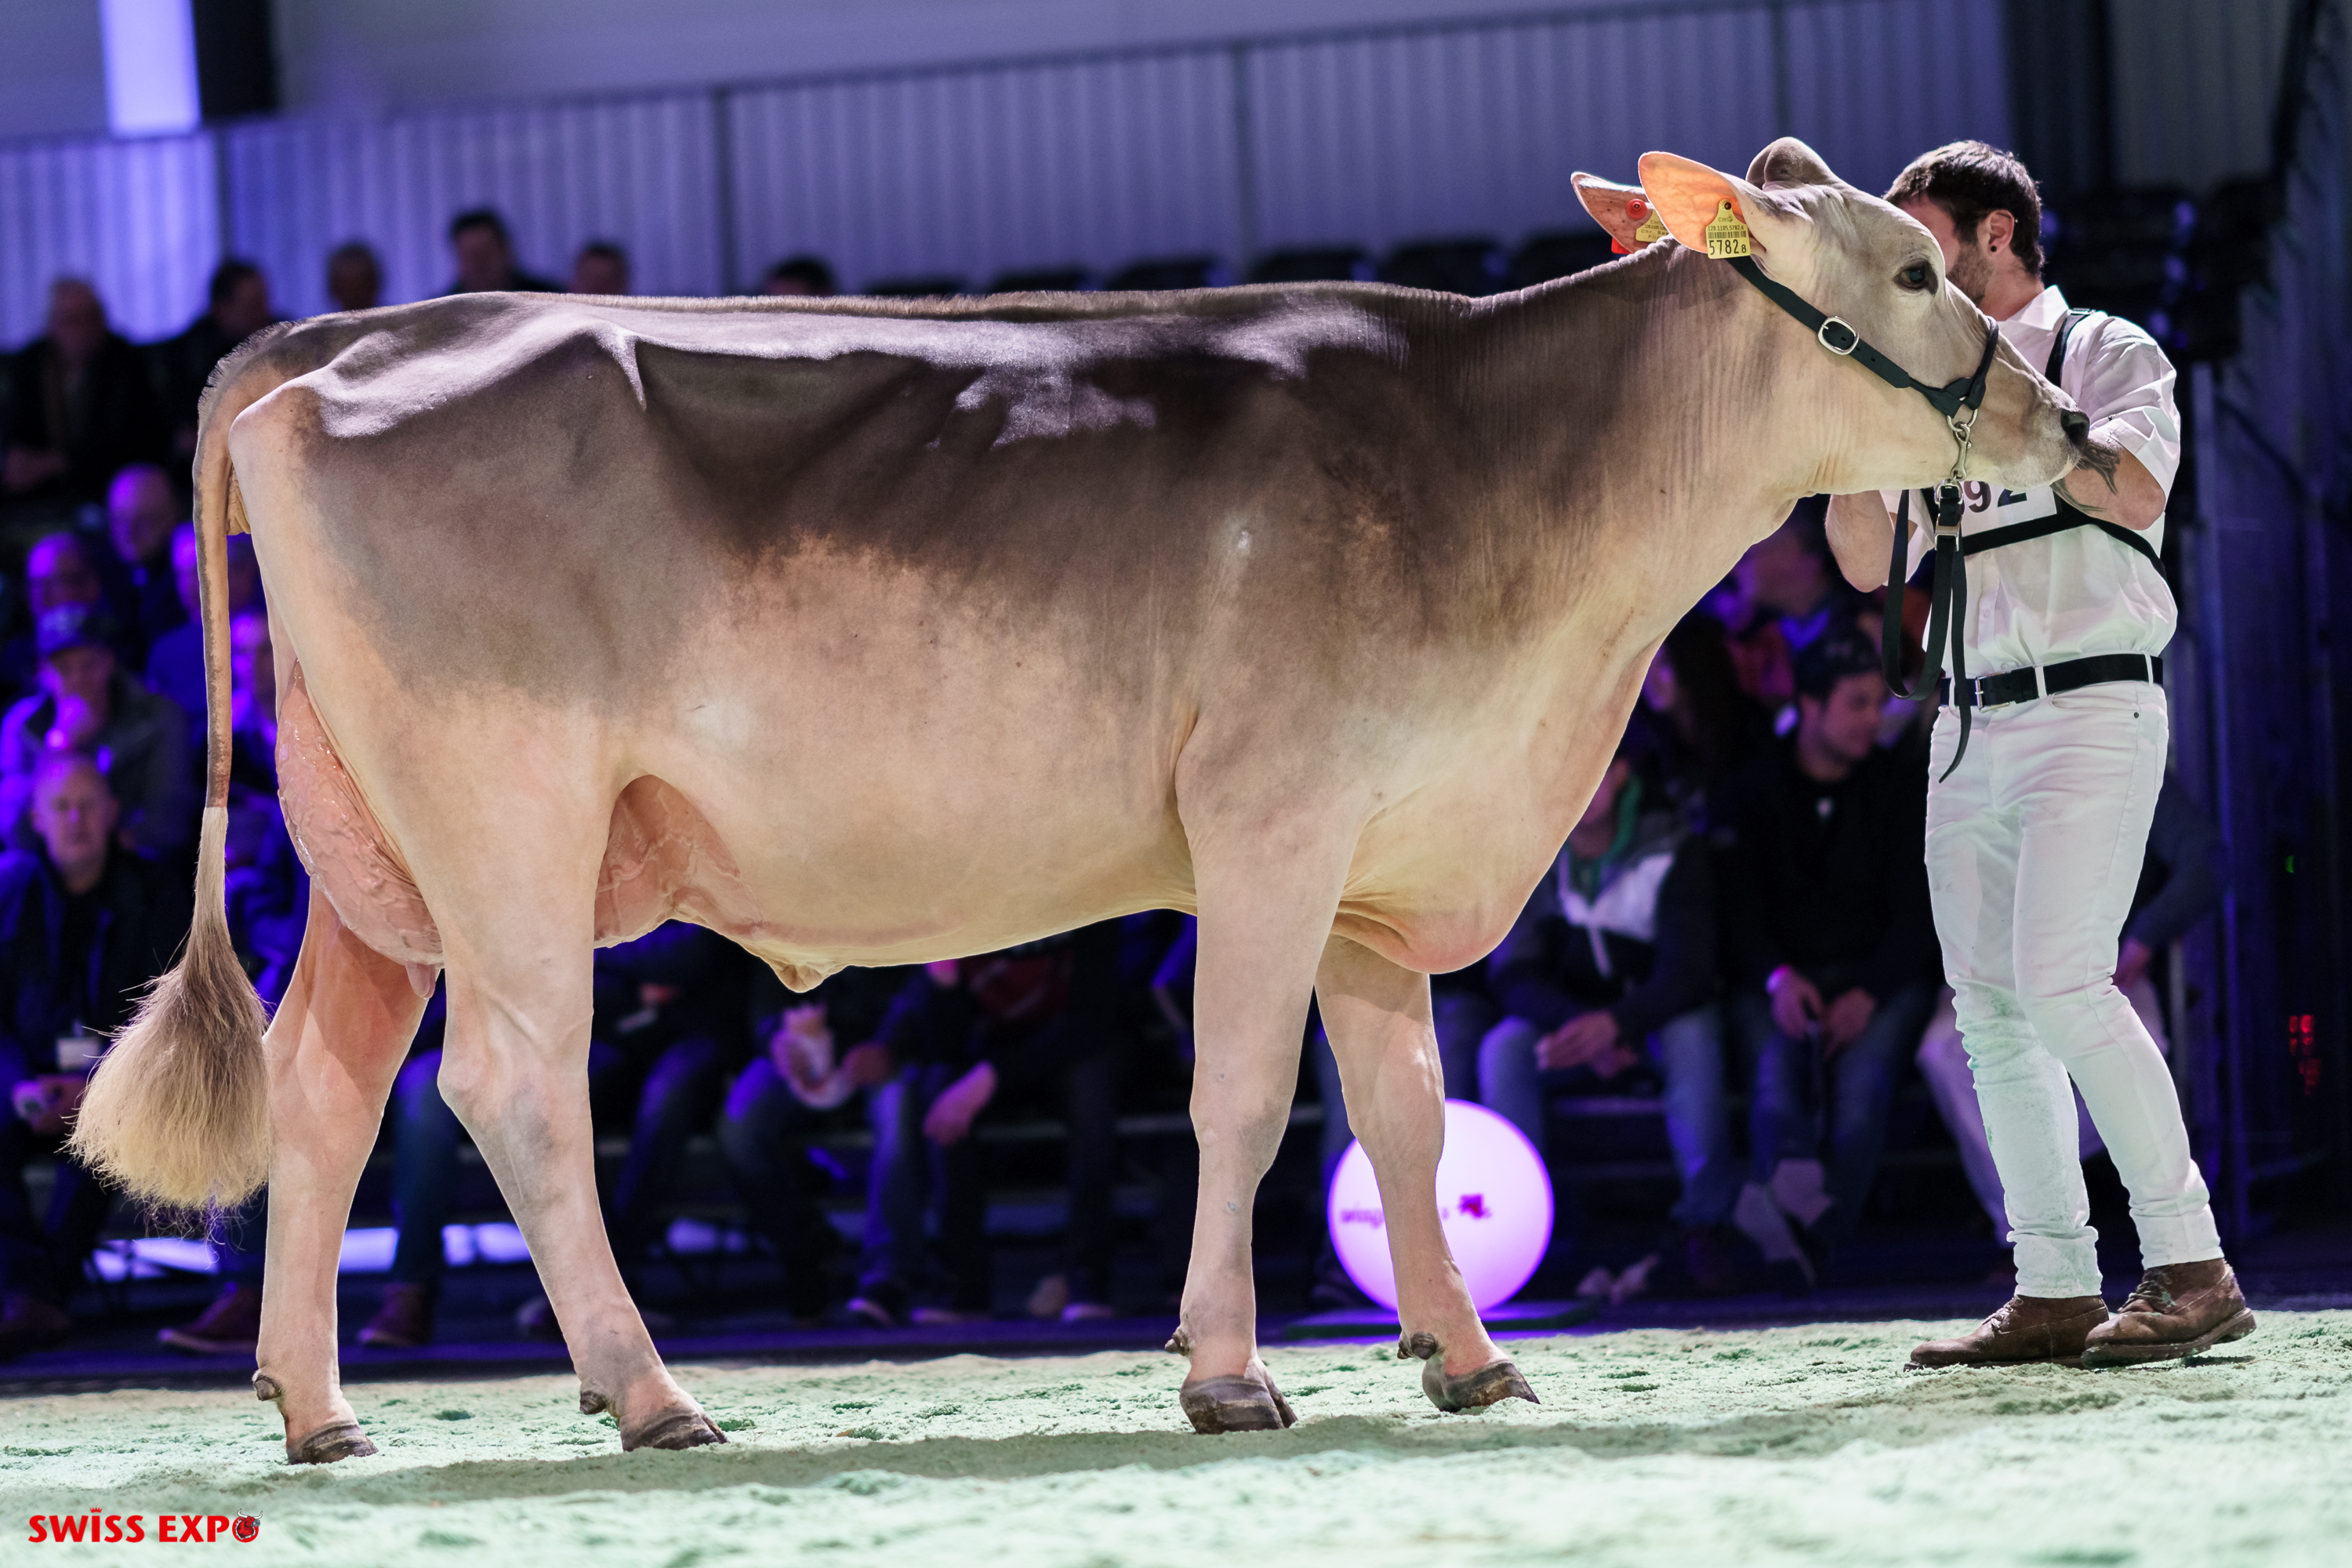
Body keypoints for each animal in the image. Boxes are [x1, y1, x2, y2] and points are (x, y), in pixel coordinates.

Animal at [69, 138, 2087, 1461]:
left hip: (374, 855)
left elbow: (1406, 1116)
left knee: (327, 1092)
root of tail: (335, 340)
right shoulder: (1272, 819)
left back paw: (320, 1405)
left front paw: (1464, 1356)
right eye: (1916, 274)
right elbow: (1247, 1097)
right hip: (508, 823)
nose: (2060, 418)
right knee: (508, 1085)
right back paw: (647, 1389)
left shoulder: (1378, 861)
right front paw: (1229, 1370)